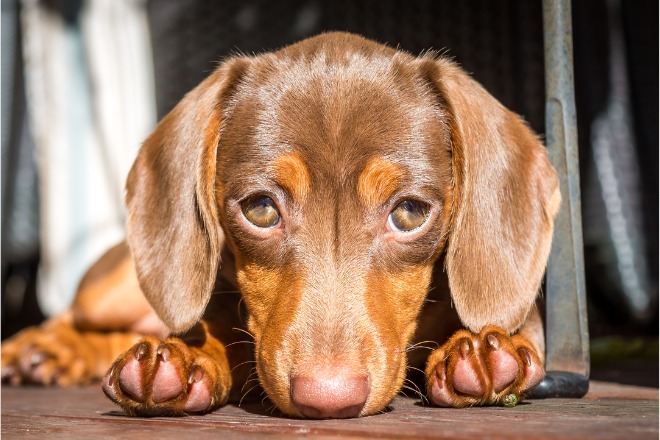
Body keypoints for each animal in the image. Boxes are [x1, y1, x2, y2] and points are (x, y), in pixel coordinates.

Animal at [1, 32, 556, 418]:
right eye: (261, 208)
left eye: (410, 213)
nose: (328, 400)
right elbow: (217, 334)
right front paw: (185, 359)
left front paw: (485, 352)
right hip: (111, 290)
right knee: (71, 314)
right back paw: (41, 349)